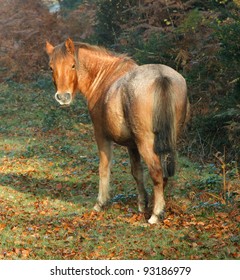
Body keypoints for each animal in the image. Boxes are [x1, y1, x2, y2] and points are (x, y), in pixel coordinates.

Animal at [45, 38, 189, 224]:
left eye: (72, 65)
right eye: (51, 67)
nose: (63, 97)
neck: (104, 77)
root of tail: (161, 77)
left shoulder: (101, 136)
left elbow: (104, 168)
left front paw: (100, 203)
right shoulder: (132, 145)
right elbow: (137, 172)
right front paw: (142, 204)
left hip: (146, 142)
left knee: (156, 172)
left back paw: (155, 215)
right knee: (162, 175)